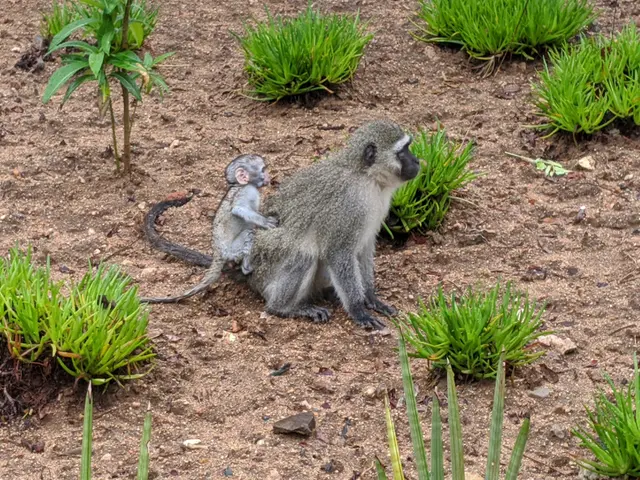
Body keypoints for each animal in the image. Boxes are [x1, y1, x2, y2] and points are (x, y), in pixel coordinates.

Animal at [139, 154, 278, 304]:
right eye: (263, 170)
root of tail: (218, 253)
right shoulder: (247, 191)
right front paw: (266, 222)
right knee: (249, 233)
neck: (239, 185)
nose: (269, 176)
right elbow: (239, 209)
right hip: (232, 250)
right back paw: (246, 267)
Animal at [244, 119, 420, 330]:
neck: (367, 177)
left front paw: (370, 297)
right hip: (264, 266)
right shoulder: (349, 204)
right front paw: (358, 309)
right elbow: (338, 252)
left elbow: (364, 249)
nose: (417, 161)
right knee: (303, 253)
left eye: (408, 147)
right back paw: (283, 307)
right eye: (402, 152)